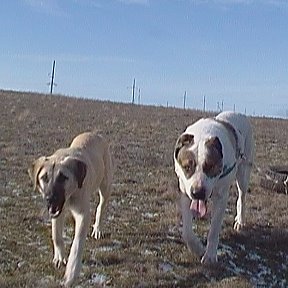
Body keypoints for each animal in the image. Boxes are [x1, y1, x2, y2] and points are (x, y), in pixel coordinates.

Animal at [28, 132, 112, 286]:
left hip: (106, 185)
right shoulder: (57, 212)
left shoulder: (82, 214)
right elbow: (56, 235)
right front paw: (60, 258)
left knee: (101, 207)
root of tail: (94, 133)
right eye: (44, 177)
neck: (70, 195)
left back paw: (97, 228)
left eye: (63, 177)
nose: (50, 198)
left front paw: (72, 272)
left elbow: (77, 245)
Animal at [173, 111, 252, 264]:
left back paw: (240, 220)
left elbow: (214, 229)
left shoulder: (221, 197)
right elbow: (187, 232)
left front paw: (209, 255)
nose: (197, 192)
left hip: (244, 170)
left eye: (210, 166)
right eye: (187, 167)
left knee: (242, 196)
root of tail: (238, 113)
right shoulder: (185, 193)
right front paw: (197, 248)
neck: (203, 134)